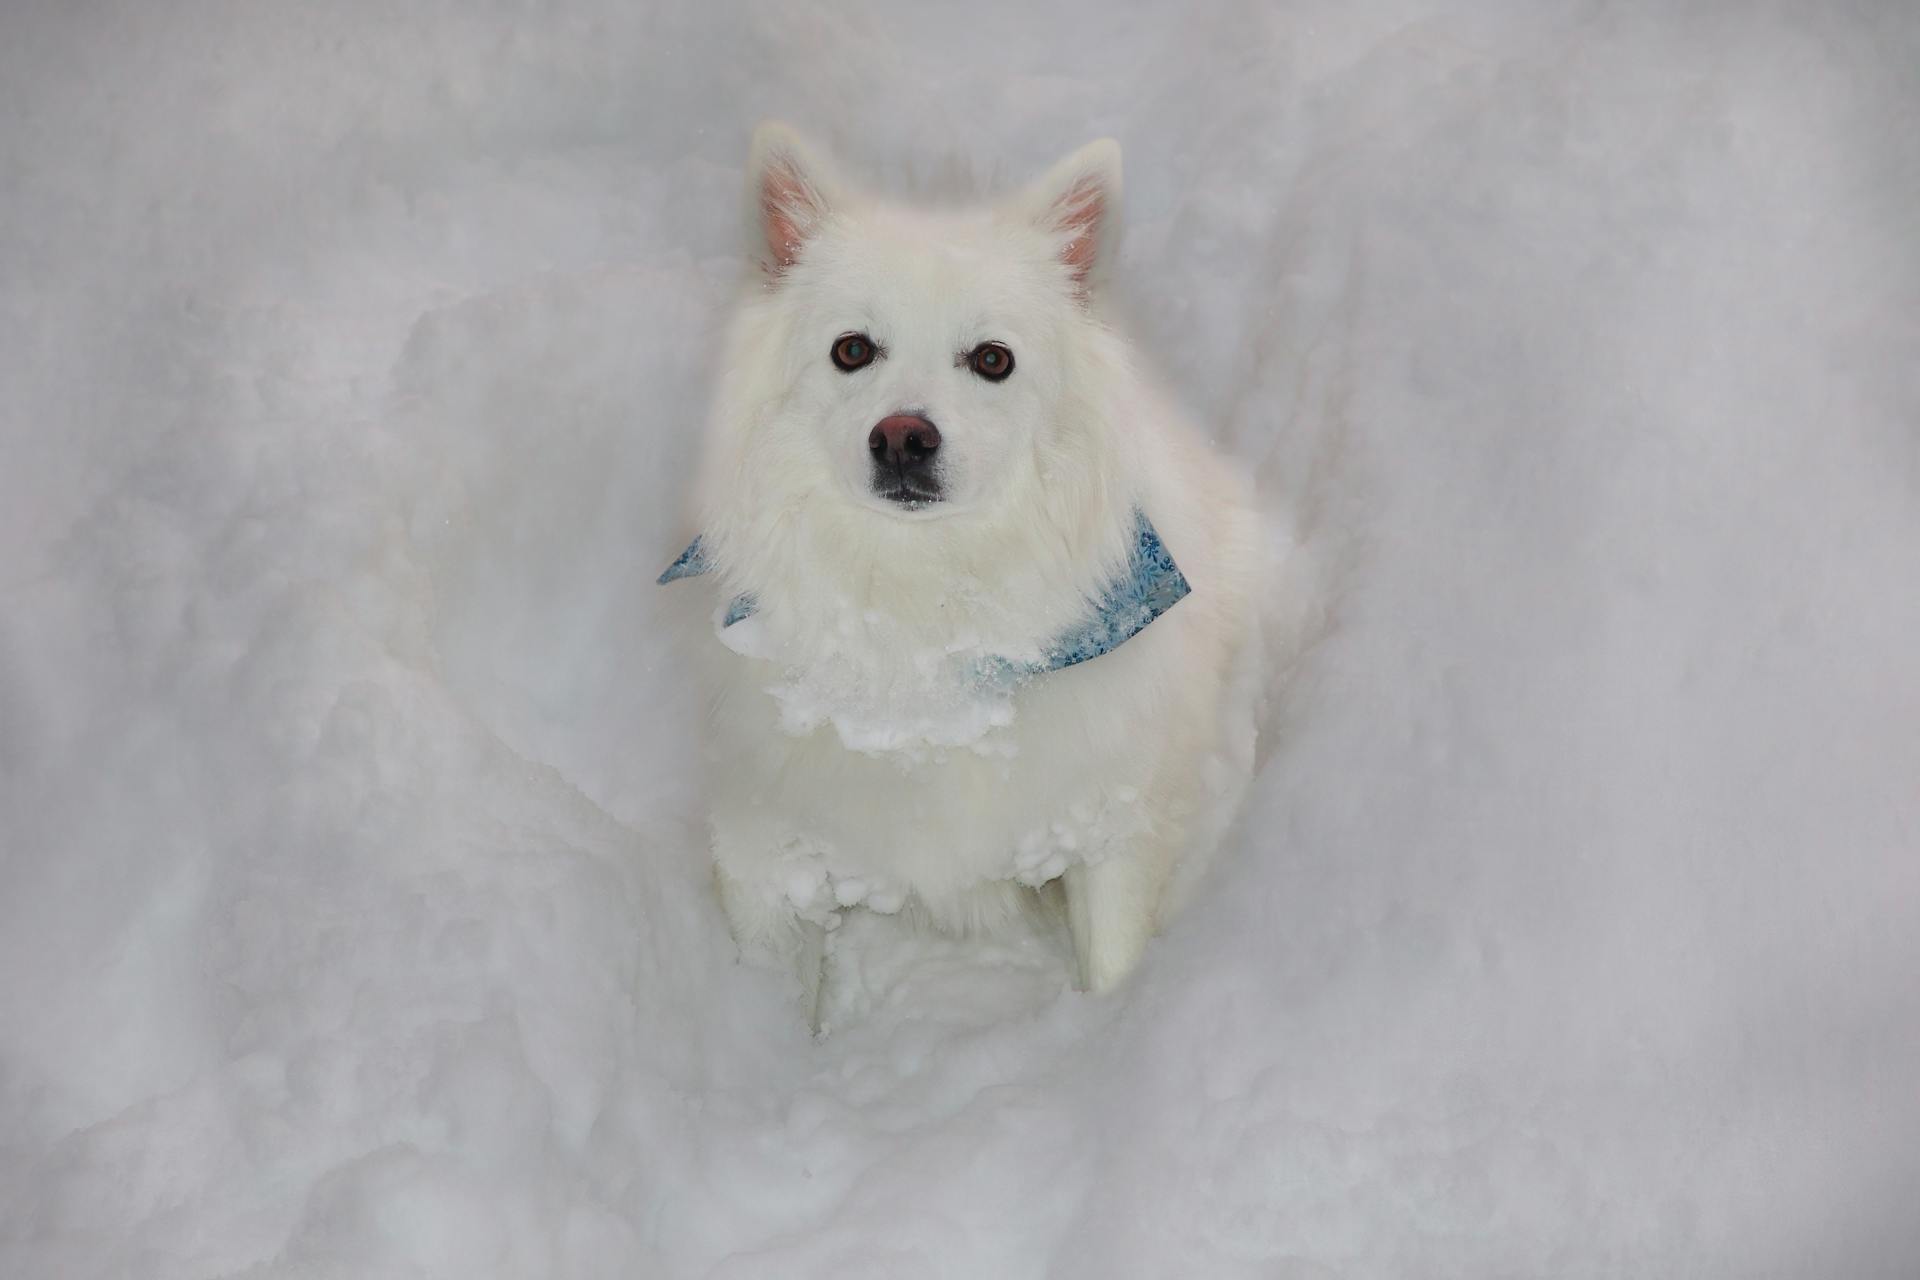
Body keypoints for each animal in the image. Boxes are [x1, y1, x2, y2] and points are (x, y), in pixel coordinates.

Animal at [668, 119, 1267, 1020]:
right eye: (852, 350)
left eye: (992, 360)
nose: (903, 437)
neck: (925, 622)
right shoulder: (765, 852)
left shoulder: (1108, 828)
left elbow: (1111, 957)